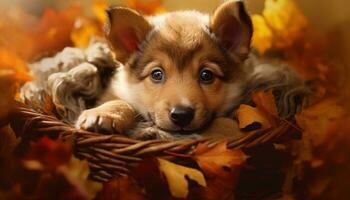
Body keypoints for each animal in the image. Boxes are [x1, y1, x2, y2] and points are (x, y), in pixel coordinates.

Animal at [76, 0, 300, 139]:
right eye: (157, 74)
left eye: (206, 75)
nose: (181, 115)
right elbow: (119, 101)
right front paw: (104, 114)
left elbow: (225, 125)